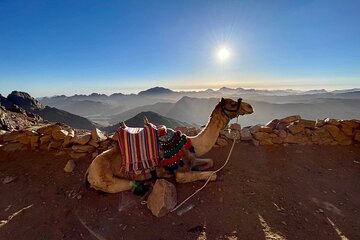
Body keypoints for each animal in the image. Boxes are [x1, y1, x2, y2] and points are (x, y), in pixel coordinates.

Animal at [84, 97, 253, 193]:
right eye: (232, 103)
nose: (250, 107)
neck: (193, 143)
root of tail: (88, 171)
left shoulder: (191, 158)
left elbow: (209, 162)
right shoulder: (181, 173)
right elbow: (212, 175)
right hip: (106, 180)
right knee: (128, 184)